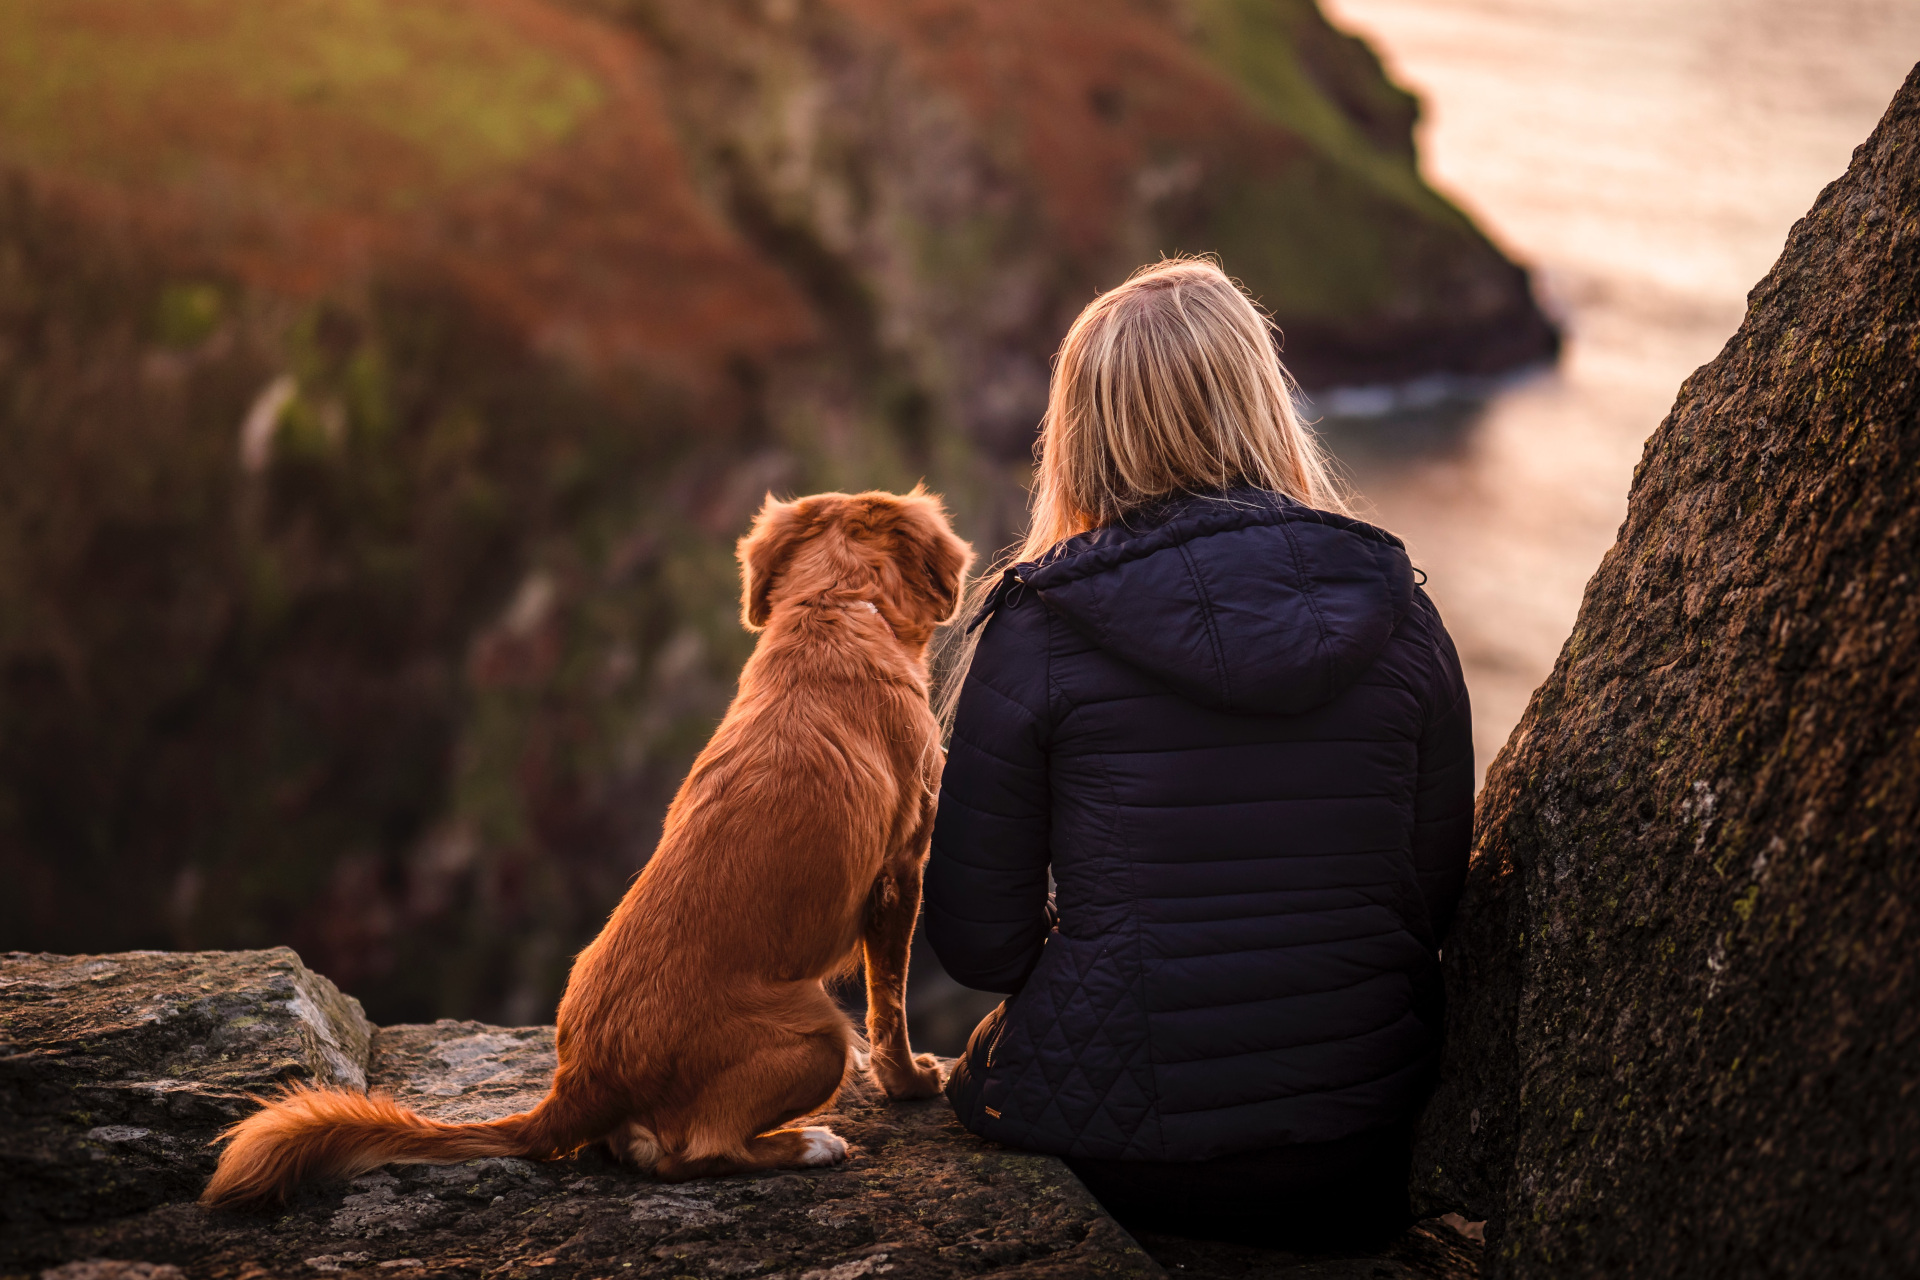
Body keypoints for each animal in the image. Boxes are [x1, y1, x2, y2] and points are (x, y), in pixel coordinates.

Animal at [206, 491, 975, 1205]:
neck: (834, 608)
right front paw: (911, 1082)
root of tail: (579, 1083)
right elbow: (890, 1003)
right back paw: (807, 1143)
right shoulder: (902, 871)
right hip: (817, 1032)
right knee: (697, 1151)